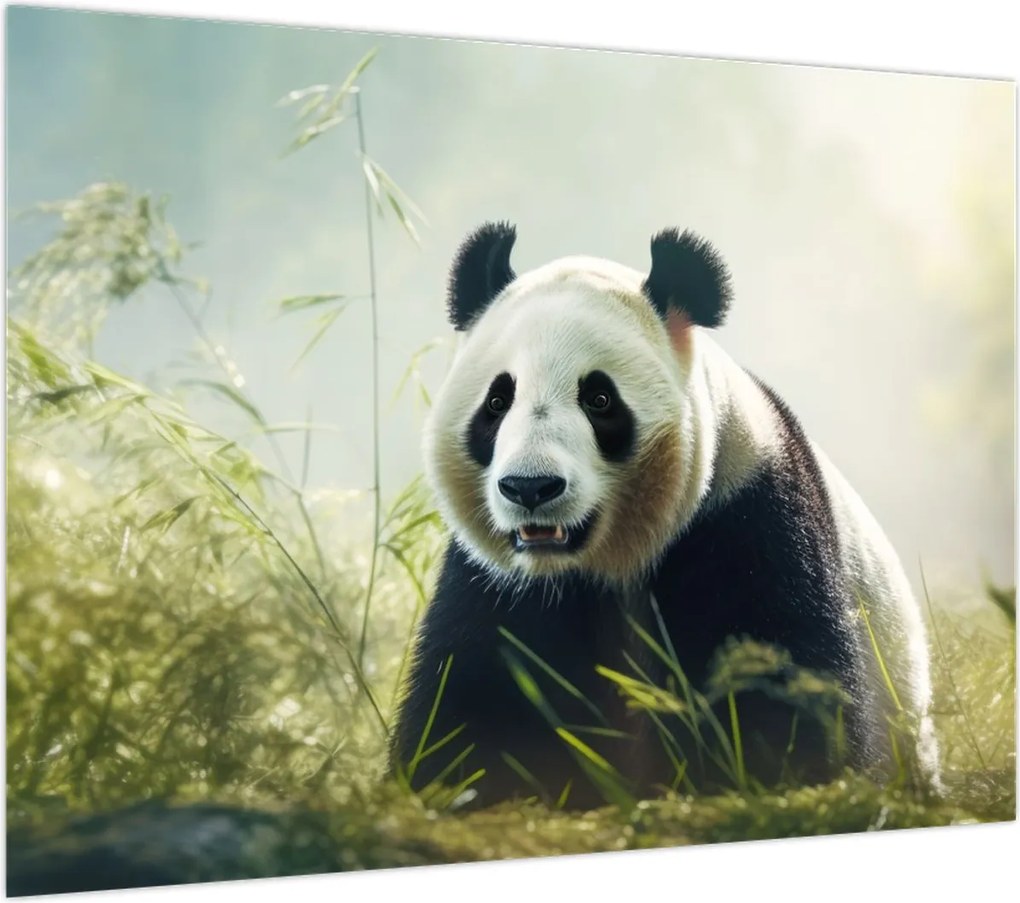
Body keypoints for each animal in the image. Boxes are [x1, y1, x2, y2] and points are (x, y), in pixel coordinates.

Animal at [389, 222, 941, 809]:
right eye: (497, 401)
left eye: (599, 399)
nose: (530, 487)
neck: (606, 561)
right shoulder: (499, 582)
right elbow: (476, 698)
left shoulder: (747, 513)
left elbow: (778, 682)